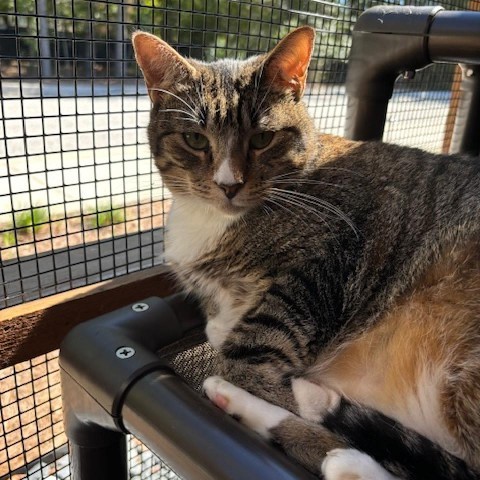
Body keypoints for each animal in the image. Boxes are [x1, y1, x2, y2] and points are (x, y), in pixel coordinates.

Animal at [133, 27, 480, 480]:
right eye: (195, 139)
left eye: (263, 139)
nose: (228, 184)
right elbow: (220, 327)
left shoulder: (320, 265)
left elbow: (244, 358)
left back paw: (334, 448)